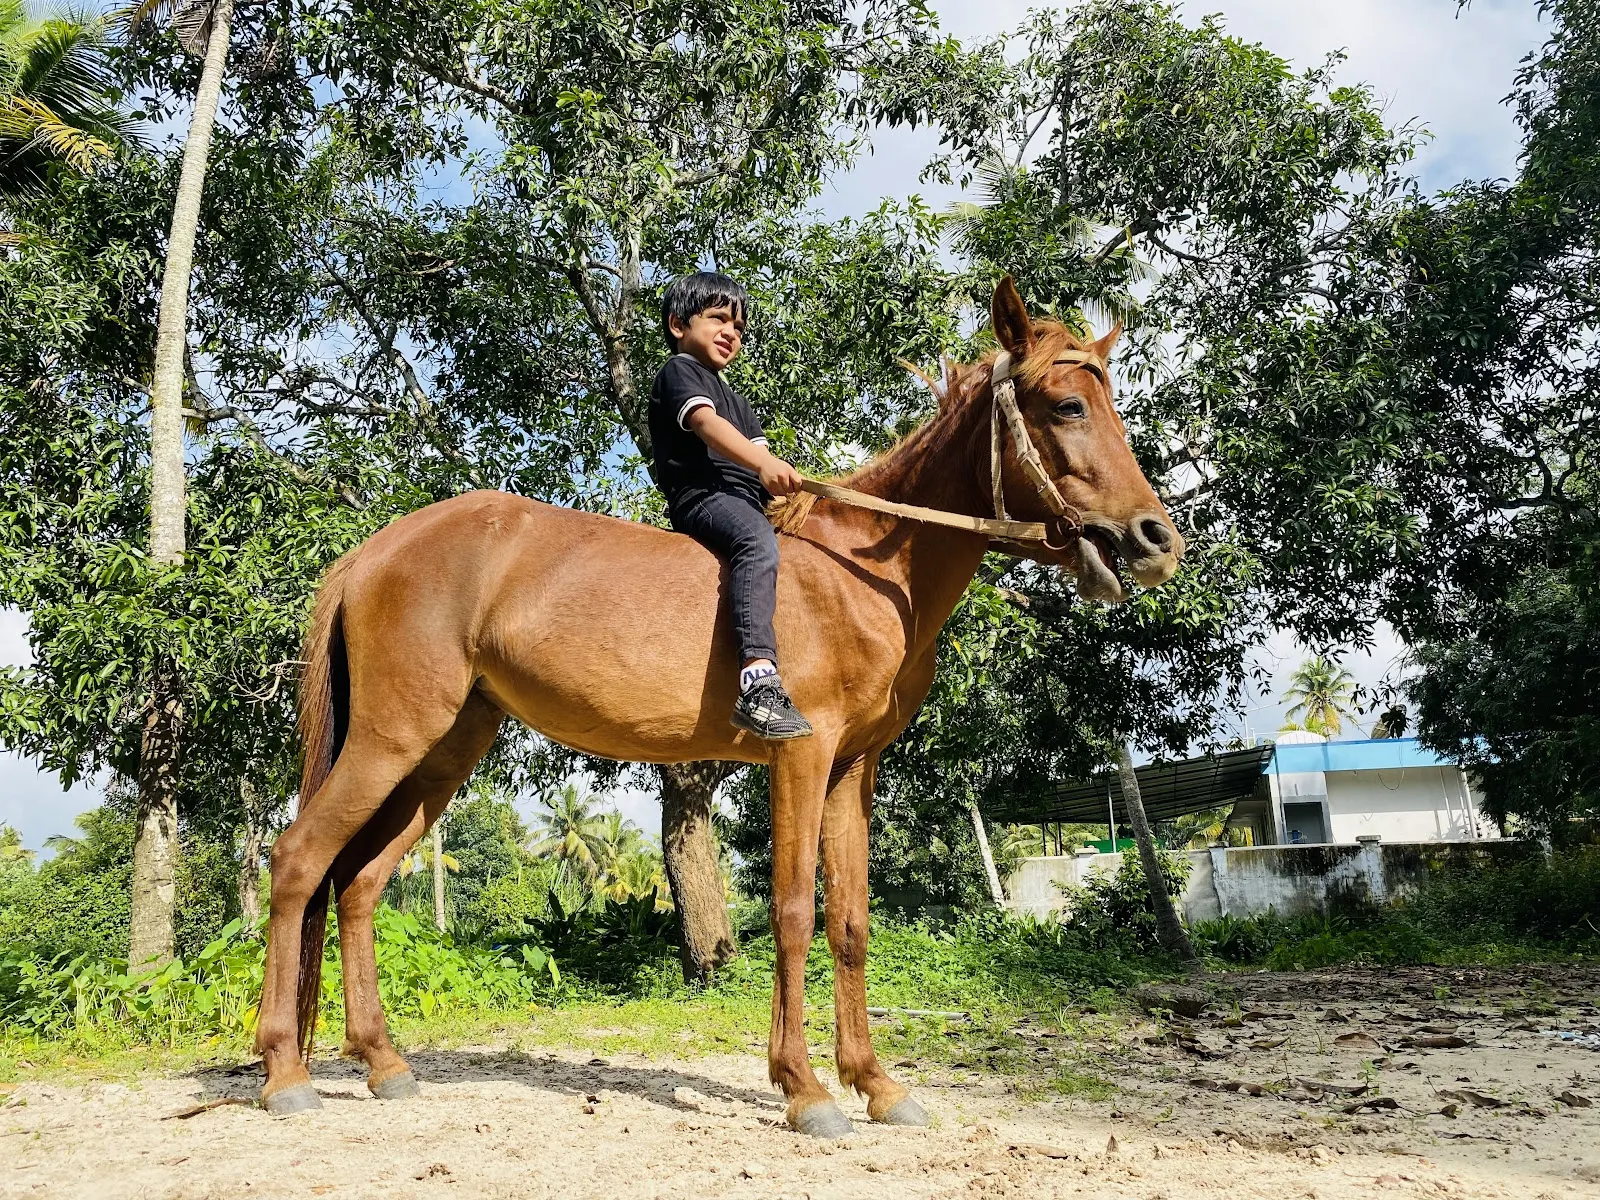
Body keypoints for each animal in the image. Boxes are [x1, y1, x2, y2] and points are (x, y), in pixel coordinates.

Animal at [255, 277, 1185, 1136]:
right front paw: (805, 1087)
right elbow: (794, 911)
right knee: (299, 860)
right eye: (1067, 404)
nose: (1156, 540)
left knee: (360, 883)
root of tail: (373, 552)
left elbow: (851, 920)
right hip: (389, 737)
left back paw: (383, 1062)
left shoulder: (853, 770)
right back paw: (284, 1072)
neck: (860, 569)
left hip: (445, 750)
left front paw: (876, 1083)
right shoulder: (801, 755)